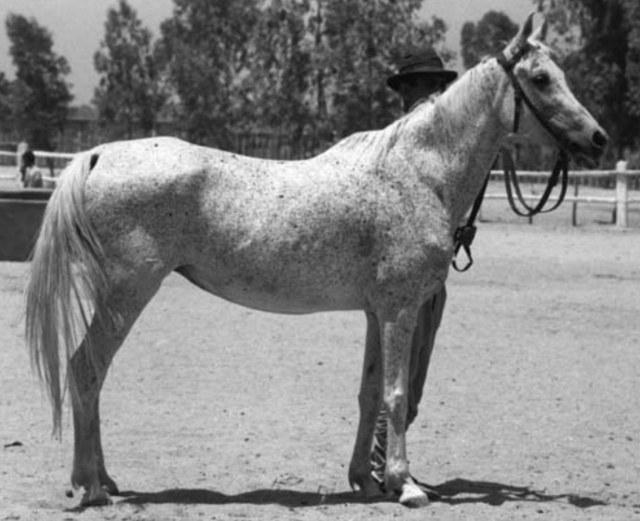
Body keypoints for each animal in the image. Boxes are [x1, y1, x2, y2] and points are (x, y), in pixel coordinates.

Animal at [23, 12, 604, 508]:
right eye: (541, 78)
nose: (597, 139)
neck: (417, 173)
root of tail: (99, 154)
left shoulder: (375, 312)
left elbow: (370, 394)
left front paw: (366, 481)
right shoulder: (400, 309)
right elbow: (396, 395)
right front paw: (406, 485)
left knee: (93, 374)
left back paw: (102, 480)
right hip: (128, 292)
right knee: (86, 368)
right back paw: (91, 487)